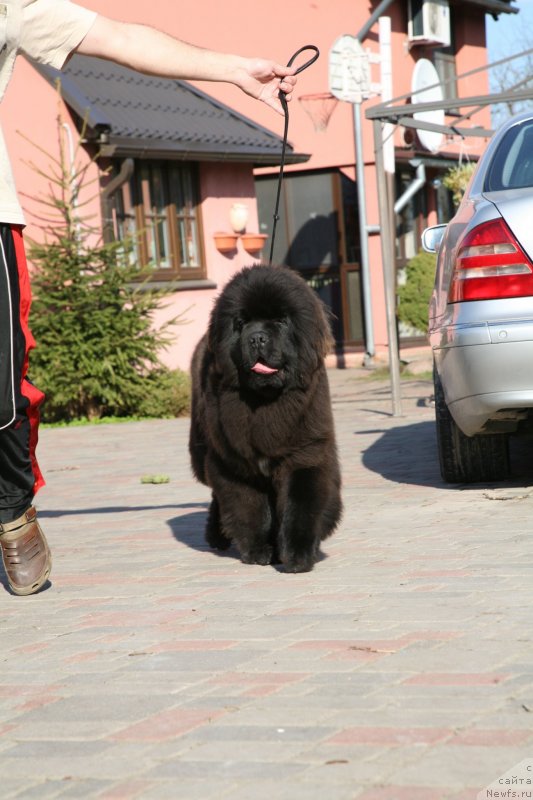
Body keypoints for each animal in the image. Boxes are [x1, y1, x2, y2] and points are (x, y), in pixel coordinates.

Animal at [189, 266, 342, 572]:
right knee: (215, 493)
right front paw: (258, 551)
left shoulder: (305, 454)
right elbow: (250, 510)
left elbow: (301, 505)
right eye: (242, 322)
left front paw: (297, 555)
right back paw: (216, 535)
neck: (265, 403)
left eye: (281, 321)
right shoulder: (234, 462)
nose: (257, 337)